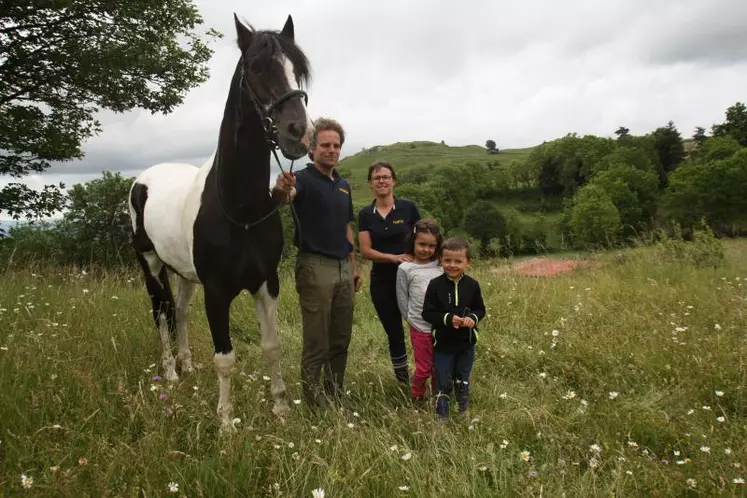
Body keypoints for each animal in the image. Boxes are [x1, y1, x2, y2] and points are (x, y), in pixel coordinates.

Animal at [127, 14, 312, 432]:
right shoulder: (216, 291)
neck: (240, 209)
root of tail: (143, 179)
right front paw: (226, 423)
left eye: (299, 70)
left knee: (179, 311)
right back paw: (171, 373)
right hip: (151, 264)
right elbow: (225, 358)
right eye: (256, 68)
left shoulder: (267, 284)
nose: (298, 132)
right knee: (160, 313)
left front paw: (280, 409)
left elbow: (271, 346)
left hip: (184, 274)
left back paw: (187, 365)